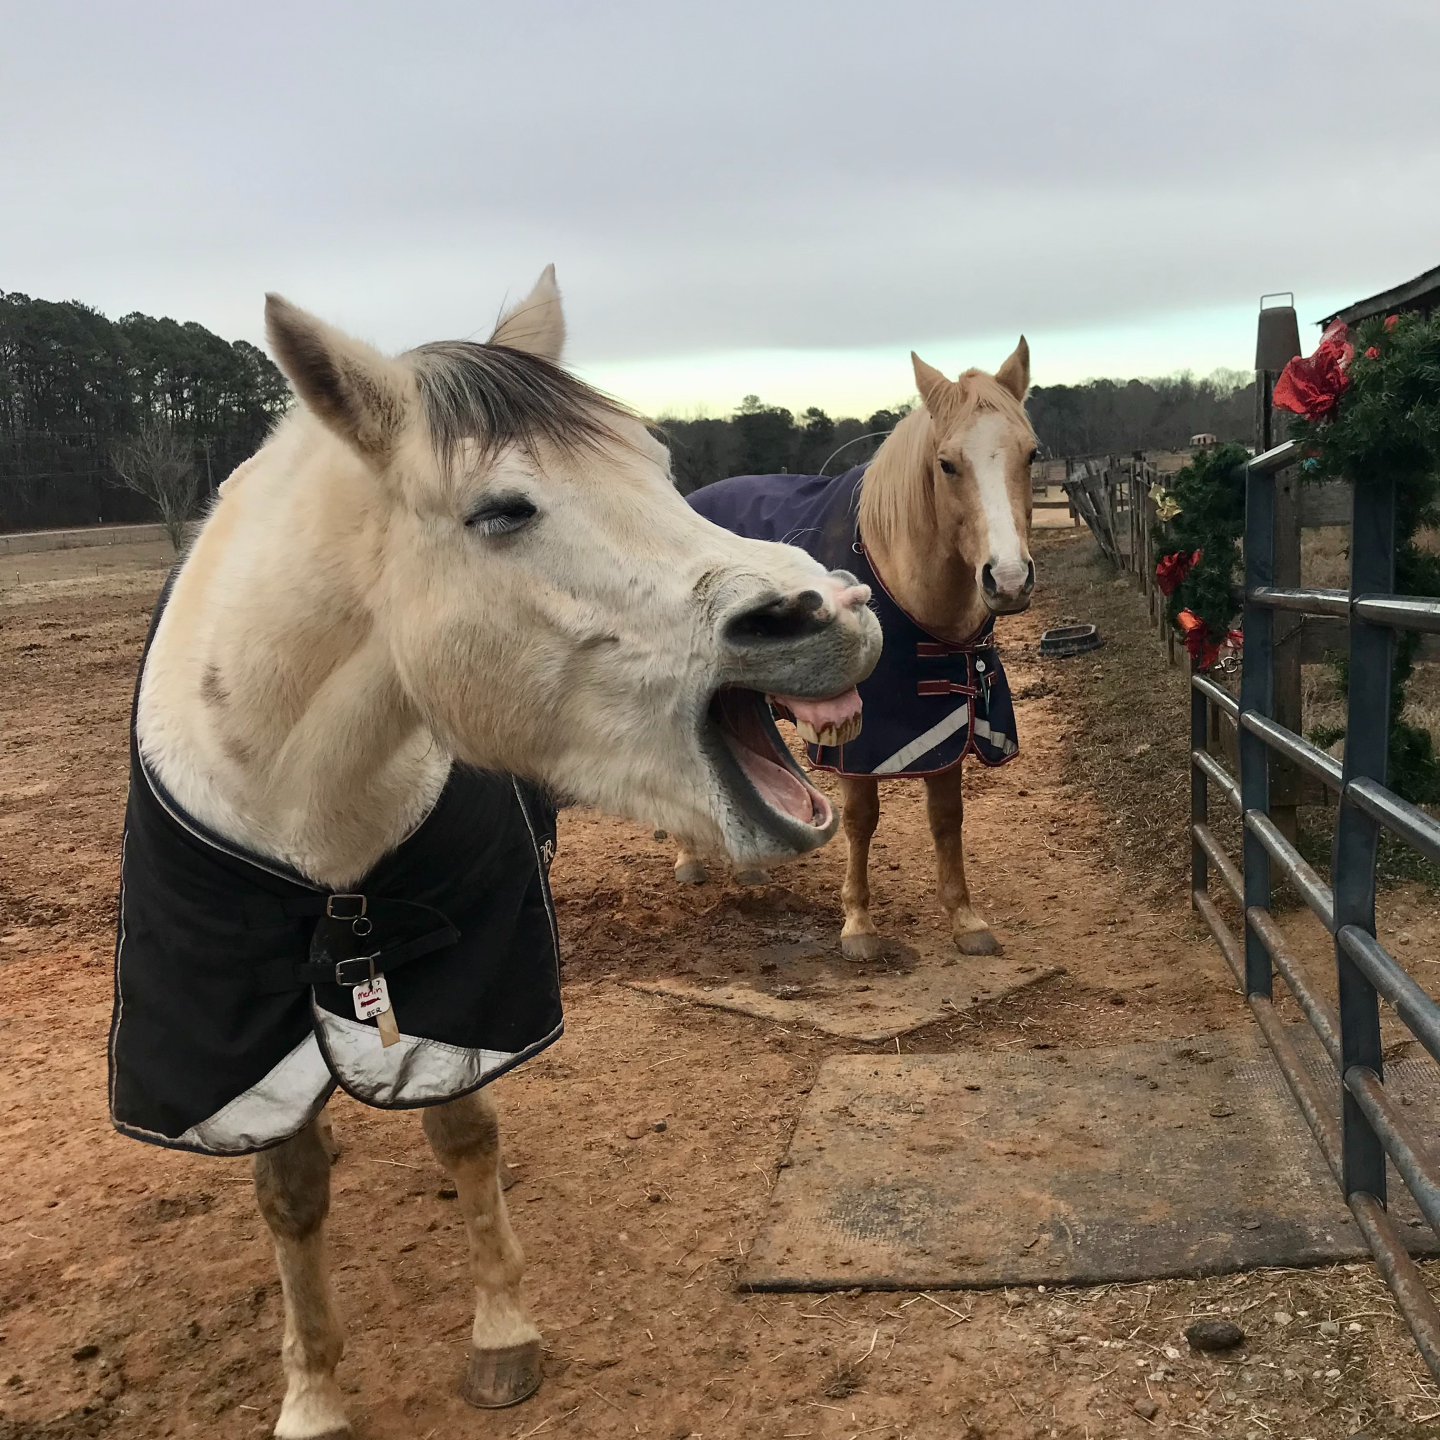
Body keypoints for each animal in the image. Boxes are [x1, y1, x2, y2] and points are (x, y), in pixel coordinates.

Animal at [107, 267, 881, 1436]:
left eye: (659, 470)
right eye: (502, 511)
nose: (828, 610)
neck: (307, 810)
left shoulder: (465, 981)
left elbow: (464, 1135)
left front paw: (501, 1333)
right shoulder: (224, 1019)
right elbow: (288, 1196)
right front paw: (312, 1391)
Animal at [674, 342, 1037, 959]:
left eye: (1032, 455)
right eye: (946, 464)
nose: (1008, 580)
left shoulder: (947, 724)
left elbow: (947, 818)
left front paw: (964, 918)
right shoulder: (857, 742)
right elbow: (862, 819)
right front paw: (859, 923)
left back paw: (747, 869)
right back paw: (688, 858)